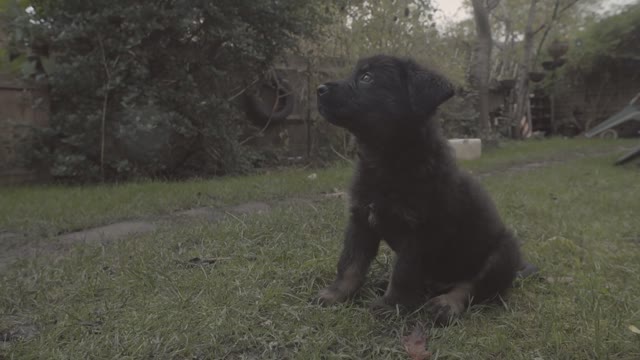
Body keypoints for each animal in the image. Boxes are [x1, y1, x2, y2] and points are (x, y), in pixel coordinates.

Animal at [314, 54, 528, 326]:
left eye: (367, 77)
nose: (318, 89)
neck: (388, 160)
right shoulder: (360, 220)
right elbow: (350, 263)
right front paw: (336, 294)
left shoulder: (421, 232)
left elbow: (403, 273)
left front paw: (391, 305)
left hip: (503, 252)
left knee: (472, 286)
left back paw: (446, 304)